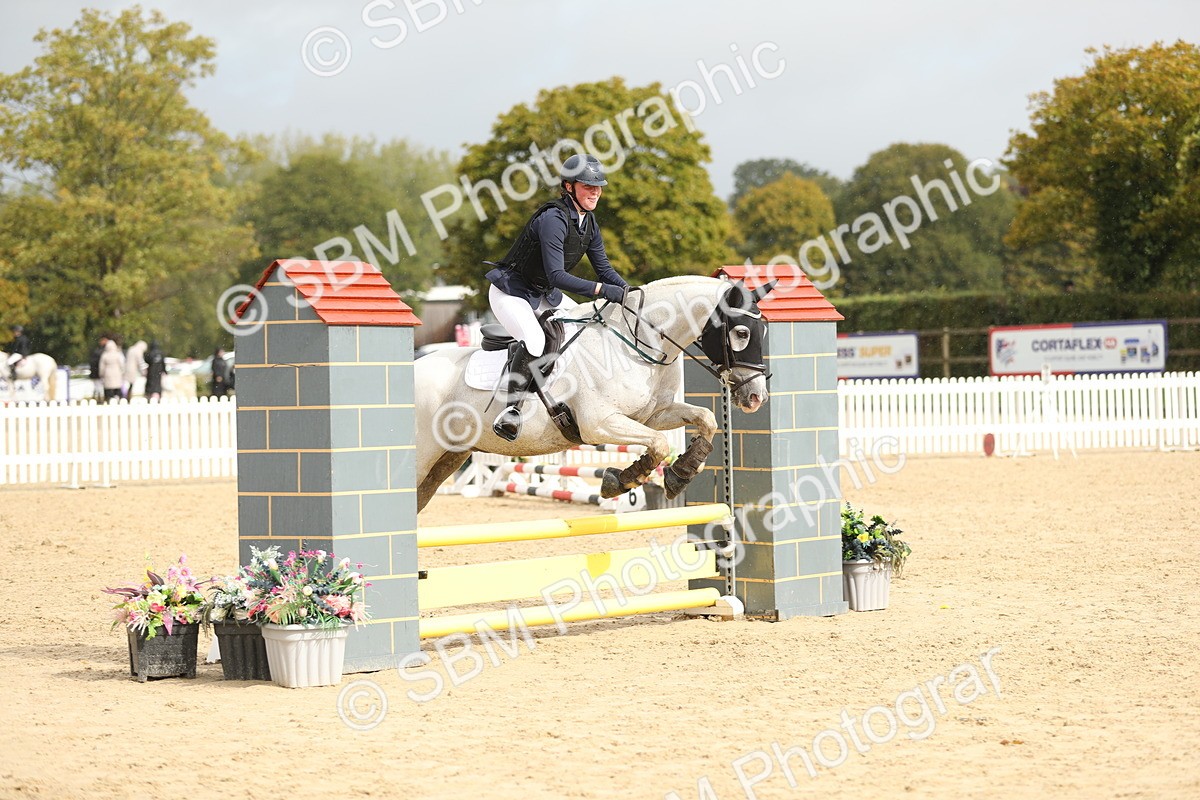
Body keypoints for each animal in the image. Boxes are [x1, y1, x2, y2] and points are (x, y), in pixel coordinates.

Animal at [414, 275, 776, 513]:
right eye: (742, 333)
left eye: (764, 331)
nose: (756, 397)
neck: (640, 342)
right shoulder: (599, 423)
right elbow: (658, 444)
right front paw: (623, 480)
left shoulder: (653, 415)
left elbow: (706, 419)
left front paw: (681, 473)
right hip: (423, 457)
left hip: (448, 459)